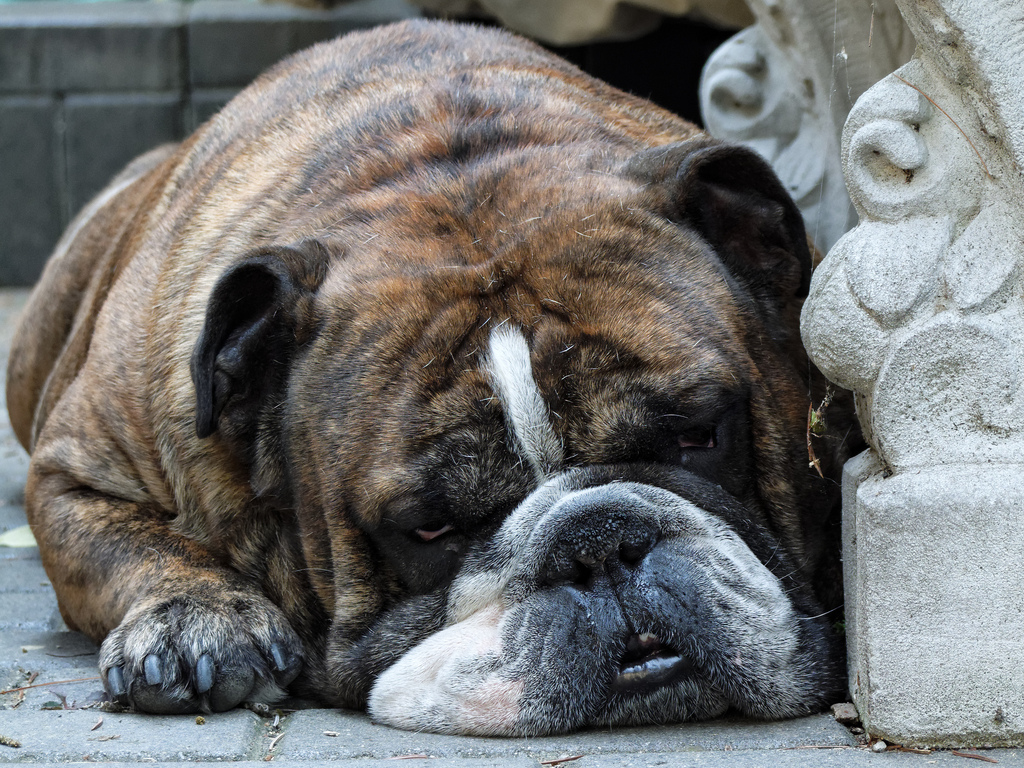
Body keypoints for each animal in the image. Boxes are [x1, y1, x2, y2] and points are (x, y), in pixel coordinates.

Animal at [4, 19, 860, 741]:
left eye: (698, 434)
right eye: (427, 530)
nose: (598, 543)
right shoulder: (73, 472)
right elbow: (133, 546)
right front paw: (196, 620)